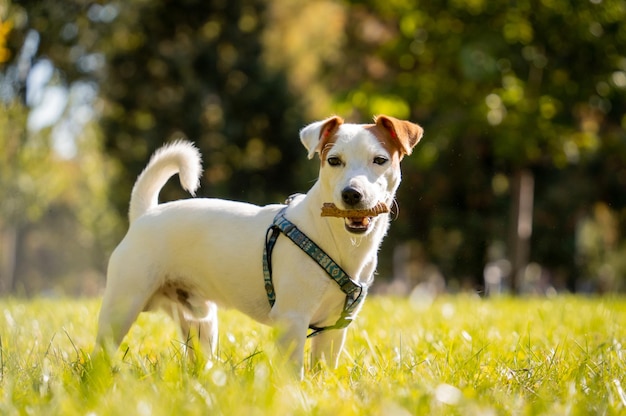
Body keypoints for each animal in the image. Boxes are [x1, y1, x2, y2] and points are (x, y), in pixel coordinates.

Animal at [95, 114, 422, 376]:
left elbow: (325, 368)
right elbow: (293, 373)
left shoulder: (334, 328)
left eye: (379, 160)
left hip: (201, 322)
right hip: (122, 307)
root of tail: (145, 214)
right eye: (333, 161)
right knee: (102, 350)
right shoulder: (291, 320)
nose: (352, 194)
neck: (337, 241)